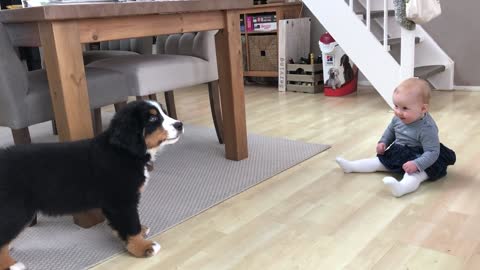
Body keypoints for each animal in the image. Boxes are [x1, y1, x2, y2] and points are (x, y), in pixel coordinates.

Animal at [0, 99, 183, 270]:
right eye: (152, 118)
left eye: (164, 112)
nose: (180, 124)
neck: (124, 152)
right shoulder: (122, 201)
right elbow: (131, 223)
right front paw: (142, 246)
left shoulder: (113, 203)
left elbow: (120, 223)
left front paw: (137, 232)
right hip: (16, 210)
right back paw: (10, 264)